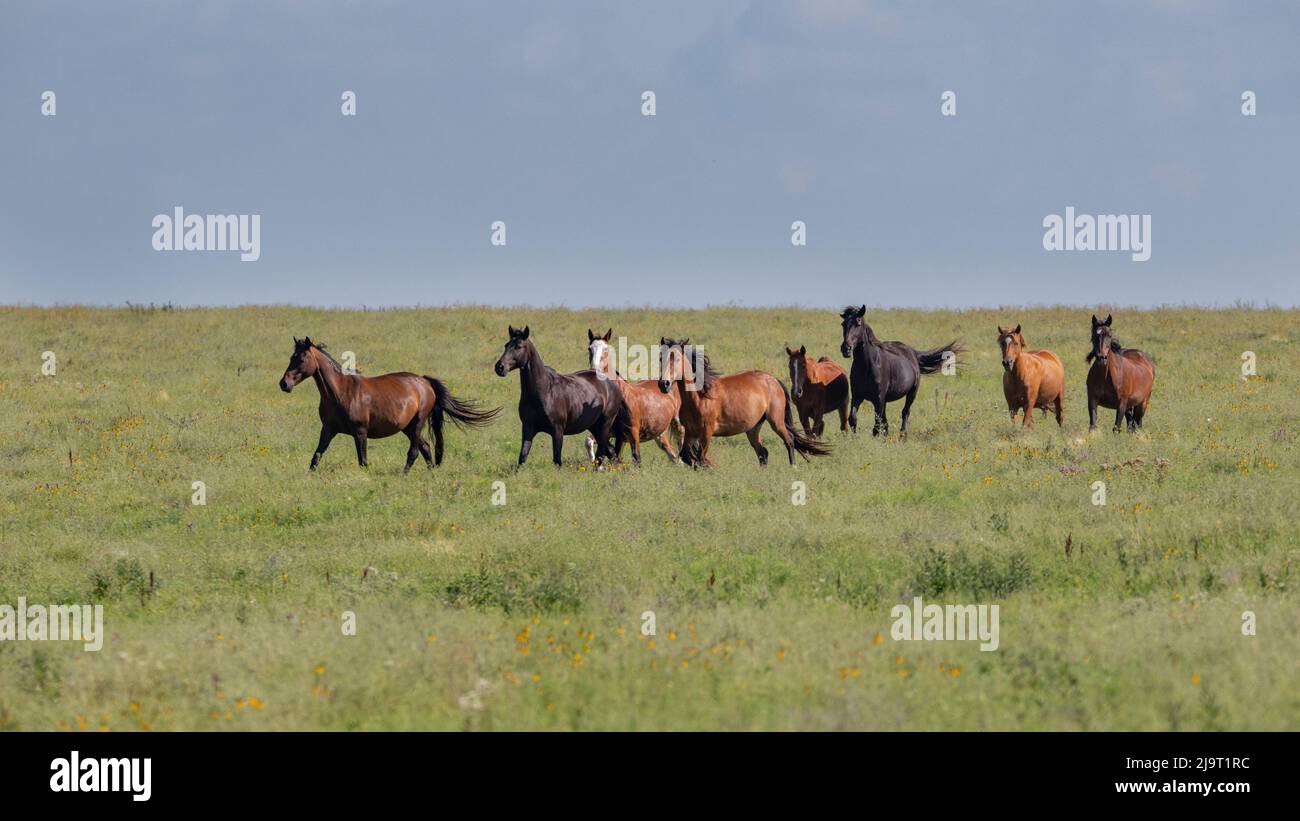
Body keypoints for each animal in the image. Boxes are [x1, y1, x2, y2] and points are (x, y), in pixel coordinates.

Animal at [279, 337, 499, 472]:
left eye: (301, 359)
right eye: (291, 357)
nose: (284, 384)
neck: (341, 393)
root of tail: (425, 381)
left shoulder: (360, 432)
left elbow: (363, 461)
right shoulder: (328, 430)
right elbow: (315, 458)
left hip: (417, 423)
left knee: (414, 451)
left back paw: (403, 475)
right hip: (407, 427)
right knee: (426, 447)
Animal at [493, 325, 627, 466]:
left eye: (518, 346)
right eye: (506, 345)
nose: (499, 367)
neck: (543, 392)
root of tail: (612, 383)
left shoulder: (557, 432)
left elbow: (557, 460)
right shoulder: (528, 429)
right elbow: (522, 457)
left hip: (605, 425)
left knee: (603, 453)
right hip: (594, 426)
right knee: (610, 452)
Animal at [582, 328, 684, 464]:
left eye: (606, 349)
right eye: (589, 348)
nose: (594, 369)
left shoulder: (632, 433)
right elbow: (591, 442)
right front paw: (594, 460)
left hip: (676, 422)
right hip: (659, 434)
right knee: (672, 453)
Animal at [657, 338, 830, 467]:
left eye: (677, 358)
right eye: (660, 358)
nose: (664, 384)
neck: (701, 396)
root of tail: (772, 380)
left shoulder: (707, 432)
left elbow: (701, 458)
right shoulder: (690, 432)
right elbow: (688, 457)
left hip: (776, 421)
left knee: (789, 441)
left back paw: (793, 467)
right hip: (753, 428)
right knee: (763, 452)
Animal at [838, 306, 964, 436]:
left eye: (858, 322)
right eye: (843, 324)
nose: (846, 349)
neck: (867, 365)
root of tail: (912, 352)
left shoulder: (878, 398)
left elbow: (877, 425)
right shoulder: (857, 396)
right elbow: (853, 419)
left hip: (912, 393)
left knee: (905, 412)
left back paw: (902, 435)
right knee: (886, 420)